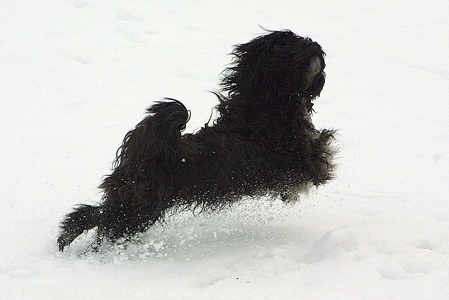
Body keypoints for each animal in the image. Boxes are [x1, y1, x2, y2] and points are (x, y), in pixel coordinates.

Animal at [57, 29, 334, 251]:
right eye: (296, 45)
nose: (317, 44)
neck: (264, 103)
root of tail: (141, 152)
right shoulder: (293, 161)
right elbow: (320, 157)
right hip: (136, 210)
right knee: (106, 223)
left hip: (127, 201)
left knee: (93, 214)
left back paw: (68, 237)